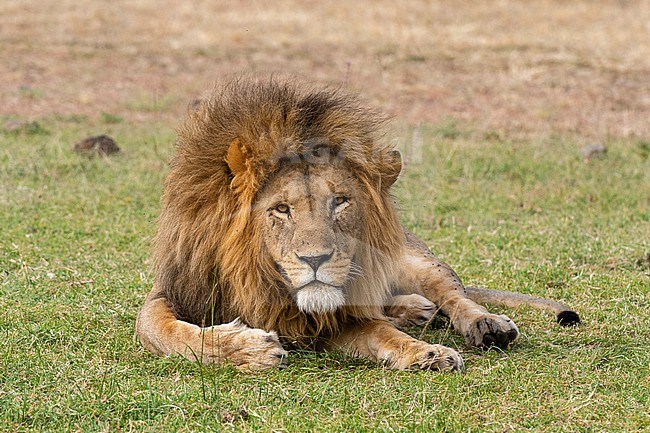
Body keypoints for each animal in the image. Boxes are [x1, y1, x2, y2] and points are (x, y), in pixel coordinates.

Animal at [135, 77, 576, 372]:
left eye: (341, 202)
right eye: (281, 209)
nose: (316, 260)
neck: (259, 280)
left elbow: (381, 332)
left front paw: (426, 352)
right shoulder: (175, 289)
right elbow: (165, 331)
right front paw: (249, 349)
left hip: (413, 259)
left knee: (453, 293)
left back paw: (484, 324)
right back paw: (413, 310)